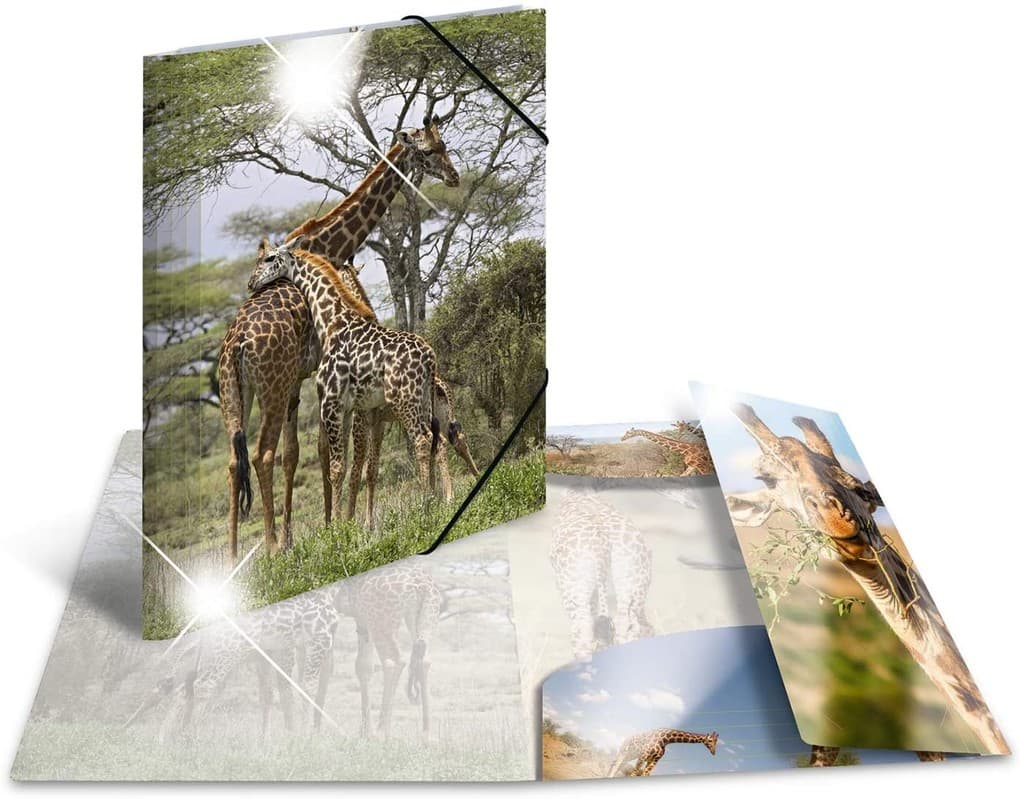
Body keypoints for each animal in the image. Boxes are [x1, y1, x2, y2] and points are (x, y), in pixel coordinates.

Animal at [247, 242, 442, 526]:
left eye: (270, 258)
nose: (251, 282)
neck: (331, 322)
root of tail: (430, 356)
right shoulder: (349, 408)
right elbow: (350, 465)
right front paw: (348, 523)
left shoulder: (331, 403)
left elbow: (338, 467)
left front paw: (339, 527)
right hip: (425, 400)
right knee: (436, 439)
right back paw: (439, 500)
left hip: (405, 400)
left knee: (422, 439)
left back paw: (427, 506)